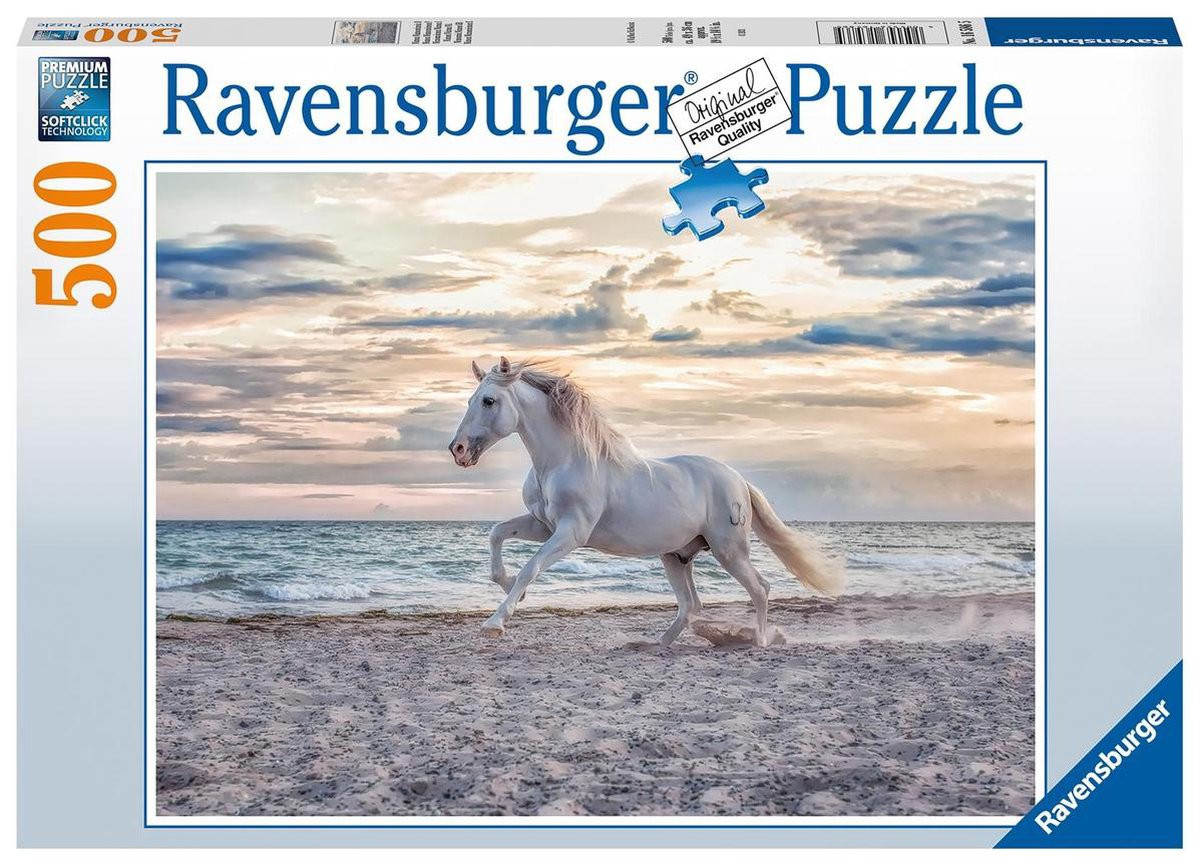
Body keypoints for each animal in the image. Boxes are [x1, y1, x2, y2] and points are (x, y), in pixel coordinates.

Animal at [447, 357, 843, 647]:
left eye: (488, 400)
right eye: (469, 400)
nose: (458, 450)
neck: (564, 461)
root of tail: (738, 480)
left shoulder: (571, 533)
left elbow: (531, 567)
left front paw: (496, 622)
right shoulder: (543, 525)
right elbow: (497, 535)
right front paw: (509, 587)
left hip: (728, 550)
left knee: (759, 589)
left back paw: (759, 642)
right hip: (676, 556)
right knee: (691, 605)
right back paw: (657, 644)